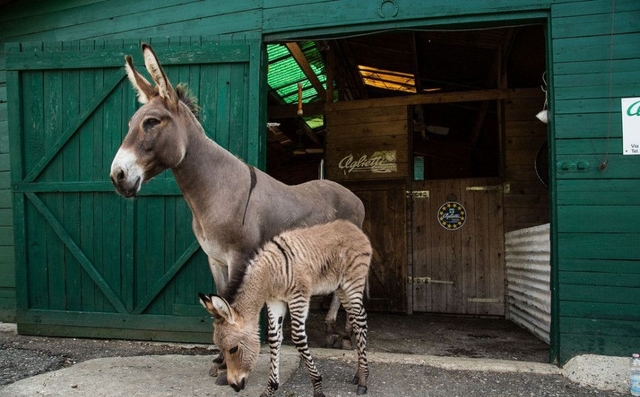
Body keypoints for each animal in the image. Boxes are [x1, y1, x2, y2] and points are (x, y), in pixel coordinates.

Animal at [200, 220, 370, 396]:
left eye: (233, 349)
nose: (234, 386)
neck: (269, 274)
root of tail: (351, 227)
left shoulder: (298, 298)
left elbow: (298, 338)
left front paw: (317, 387)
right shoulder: (275, 301)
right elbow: (274, 338)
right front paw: (270, 388)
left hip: (353, 284)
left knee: (360, 321)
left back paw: (363, 380)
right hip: (341, 288)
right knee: (358, 318)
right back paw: (358, 374)